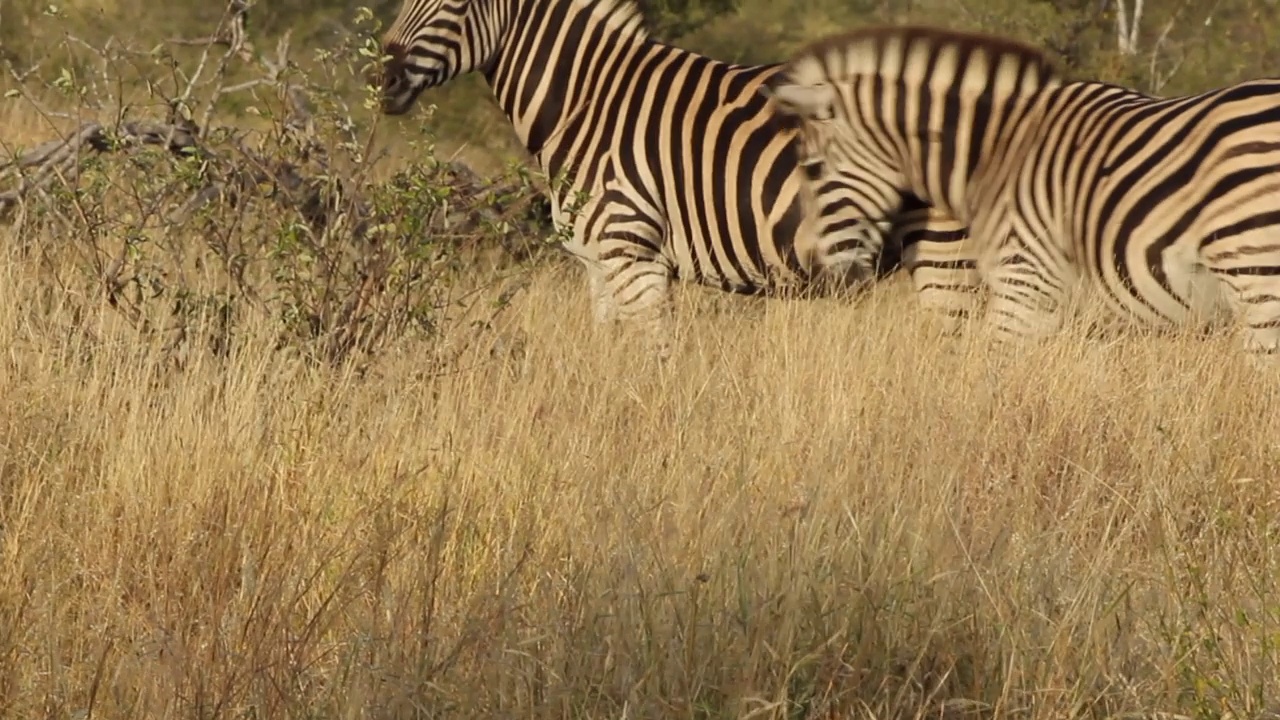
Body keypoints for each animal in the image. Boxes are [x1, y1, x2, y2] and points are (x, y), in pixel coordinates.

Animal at [373, 0, 972, 353]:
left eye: (455, 2)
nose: (383, 80)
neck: (586, 99)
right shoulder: (597, 262)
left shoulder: (632, 252)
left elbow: (652, 364)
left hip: (945, 247)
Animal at [757, 24, 1280, 361]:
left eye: (812, 169)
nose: (817, 272)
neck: (997, 150)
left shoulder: (1024, 284)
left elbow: (994, 380)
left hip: (1258, 278)